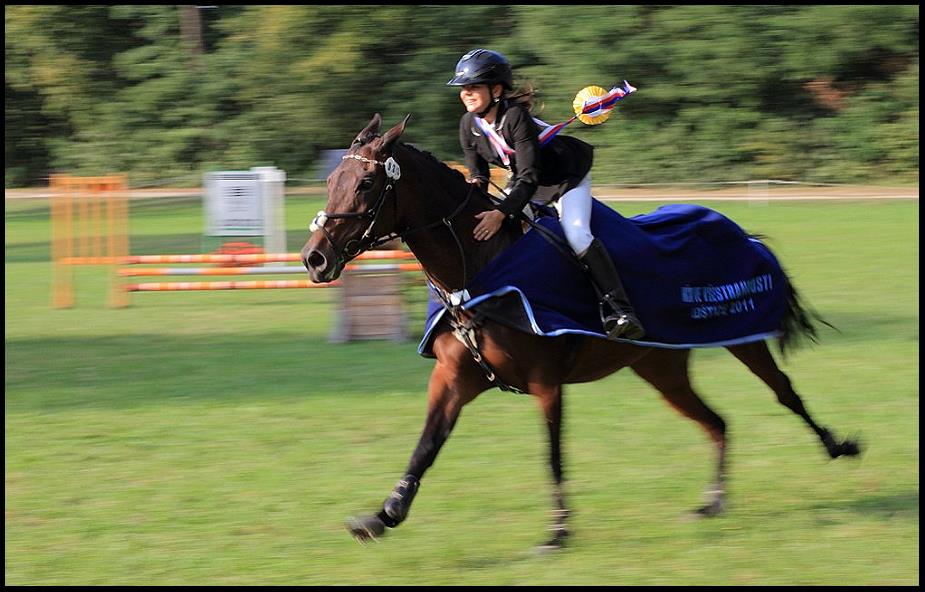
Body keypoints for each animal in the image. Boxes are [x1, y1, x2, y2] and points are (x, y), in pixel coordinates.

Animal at [301, 113, 861, 550]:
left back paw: (838, 446)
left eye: (366, 185)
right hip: (662, 367)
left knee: (784, 393)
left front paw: (557, 532)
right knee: (717, 423)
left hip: (741, 337)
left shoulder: (547, 381)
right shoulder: (455, 379)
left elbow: (552, 454)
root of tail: (738, 229)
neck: (477, 270)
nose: (314, 259)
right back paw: (713, 503)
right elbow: (426, 446)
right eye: (330, 182)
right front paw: (382, 516)